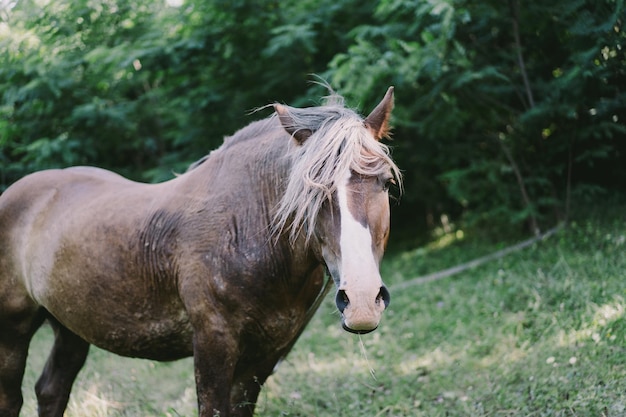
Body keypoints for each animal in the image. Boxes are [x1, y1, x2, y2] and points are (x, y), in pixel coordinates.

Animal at [0, 86, 400, 414]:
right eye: (310, 191)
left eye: (384, 182)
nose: (361, 300)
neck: (245, 224)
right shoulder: (213, 341)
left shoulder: (266, 354)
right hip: (14, 329)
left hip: (70, 327)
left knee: (51, 390)